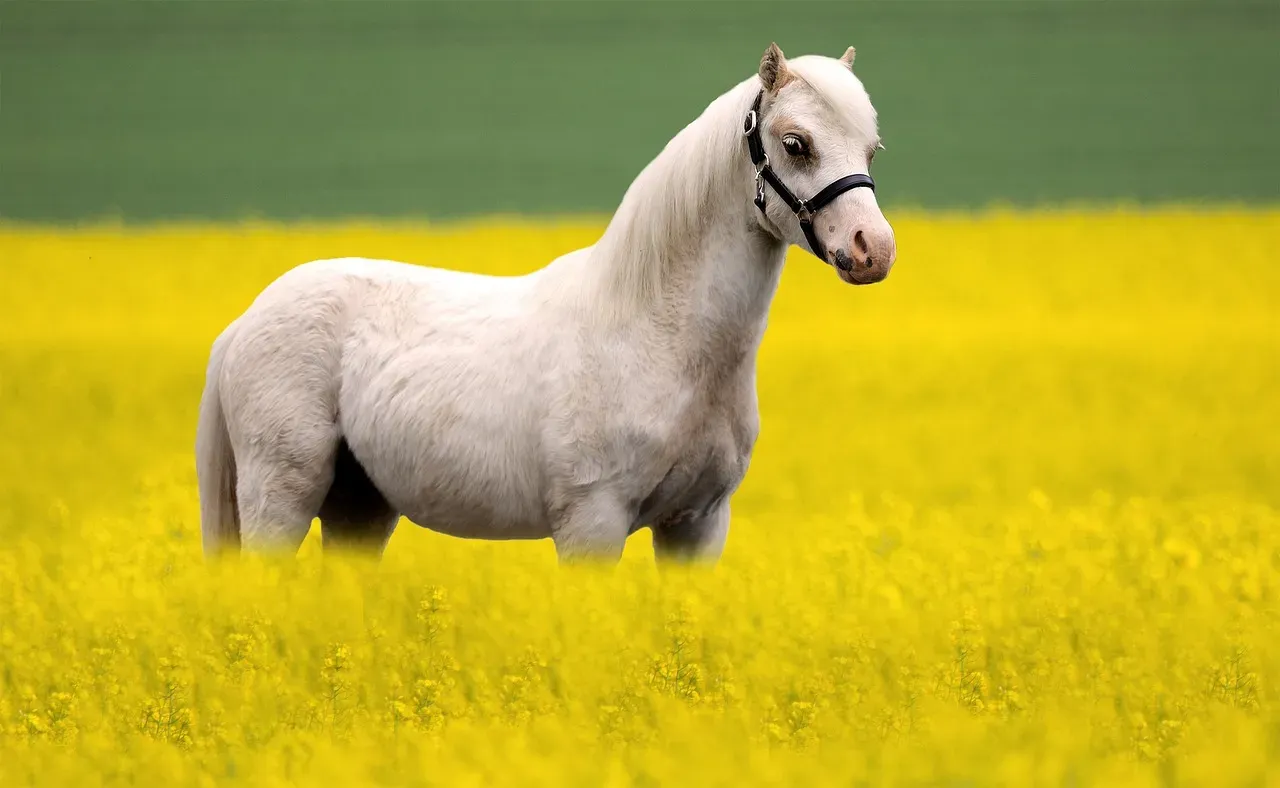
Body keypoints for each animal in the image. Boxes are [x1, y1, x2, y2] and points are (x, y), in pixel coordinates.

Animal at [195, 43, 896, 563]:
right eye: (796, 143)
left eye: (870, 148)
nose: (874, 250)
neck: (655, 334)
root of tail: (245, 322)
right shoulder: (593, 524)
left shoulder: (698, 525)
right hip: (280, 500)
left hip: (358, 509)